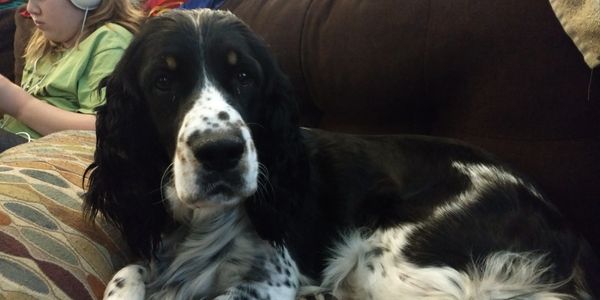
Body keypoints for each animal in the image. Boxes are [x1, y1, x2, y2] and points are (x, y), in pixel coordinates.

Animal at [85, 8, 600, 298]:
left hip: (386, 263)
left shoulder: (275, 276)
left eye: (245, 77)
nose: (220, 153)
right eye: (163, 80)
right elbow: (126, 274)